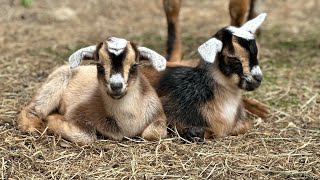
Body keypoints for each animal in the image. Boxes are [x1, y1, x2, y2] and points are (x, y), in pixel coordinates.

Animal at [17, 37, 168, 145]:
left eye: (134, 66)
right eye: (99, 66)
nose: (116, 86)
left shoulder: (158, 115)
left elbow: (153, 134)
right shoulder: (77, 112)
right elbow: (86, 137)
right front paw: (52, 118)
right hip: (55, 83)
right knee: (32, 109)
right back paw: (34, 128)